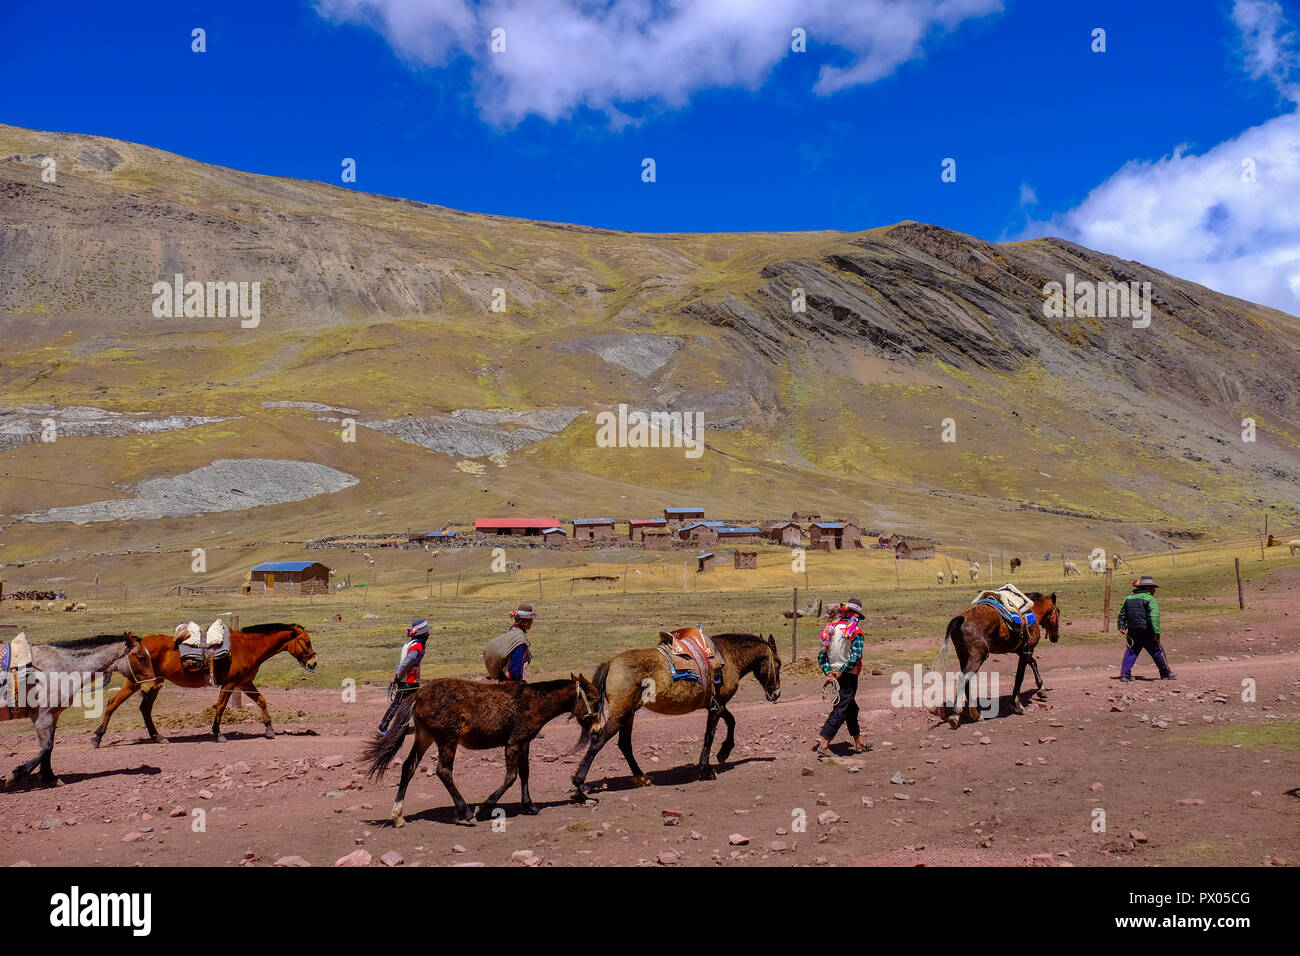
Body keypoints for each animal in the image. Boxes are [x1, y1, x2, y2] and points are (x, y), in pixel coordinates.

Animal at [2, 639, 156, 790]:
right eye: (141, 657)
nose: (153, 687)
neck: (57, 668)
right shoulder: (43, 718)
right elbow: (46, 747)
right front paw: (14, 776)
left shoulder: (53, 717)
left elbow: (48, 748)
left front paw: (50, 778)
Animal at [91, 621, 317, 749]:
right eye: (306, 642)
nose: (314, 662)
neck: (249, 647)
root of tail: (135, 644)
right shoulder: (231, 683)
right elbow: (221, 707)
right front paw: (218, 734)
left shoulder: (244, 682)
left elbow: (262, 700)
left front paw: (269, 729)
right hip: (136, 683)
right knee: (113, 703)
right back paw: (97, 738)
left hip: (153, 684)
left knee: (145, 709)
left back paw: (158, 737)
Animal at [364, 676, 600, 827]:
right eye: (593, 699)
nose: (597, 730)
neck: (534, 701)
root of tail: (419, 694)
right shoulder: (513, 743)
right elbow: (511, 777)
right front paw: (482, 808)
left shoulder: (525, 743)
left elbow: (525, 773)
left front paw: (529, 806)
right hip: (447, 740)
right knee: (443, 771)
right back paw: (467, 813)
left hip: (425, 737)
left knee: (408, 768)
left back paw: (398, 817)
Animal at [572, 634, 780, 801]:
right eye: (778, 664)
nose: (776, 693)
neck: (726, 657)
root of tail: (611, 663)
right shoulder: (718, 705)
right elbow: (710, 735)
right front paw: (706, 769)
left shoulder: (717, 704)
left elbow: (731, 721)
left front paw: (724, 752)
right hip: (620, 715)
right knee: (598, 741)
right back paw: (580, 784)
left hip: (628, 715)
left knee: (624, 744)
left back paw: (642, 777)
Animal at [941, 587, 1060, 728]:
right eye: (1058, 611)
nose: (1056, 637)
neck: (1034, 612)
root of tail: (961, 618)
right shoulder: (1026, 651)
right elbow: (1019, 677)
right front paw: (1018, 705)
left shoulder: (1022, 651)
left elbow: (1033, 663)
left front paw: (1041, 689)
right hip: (977, 657)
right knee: (963, 679)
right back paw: (956, 715)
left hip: (963, 656)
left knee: (966, 681)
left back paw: (976, 715)